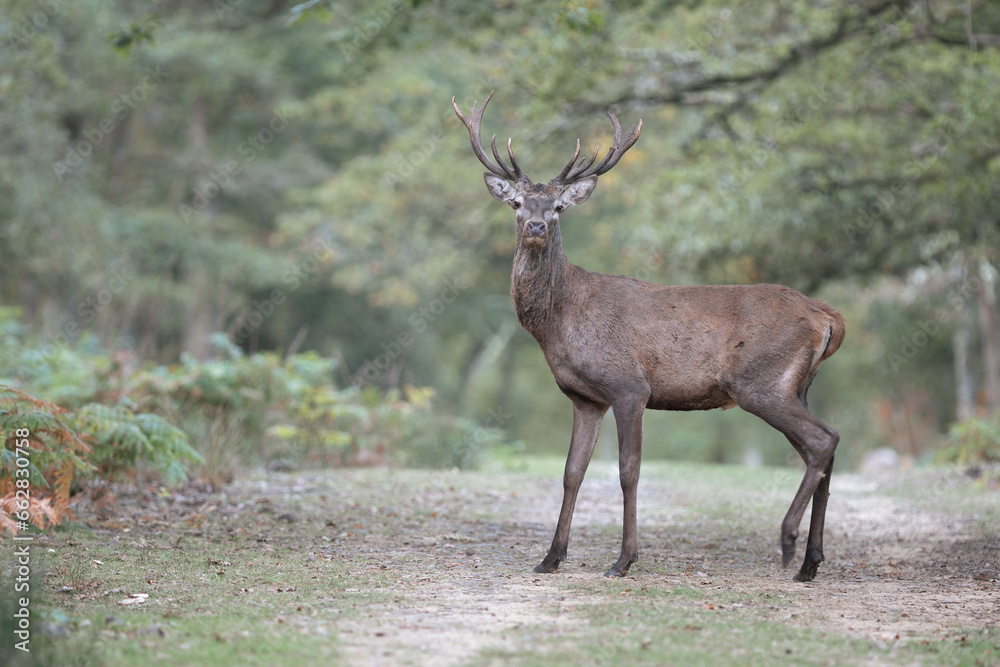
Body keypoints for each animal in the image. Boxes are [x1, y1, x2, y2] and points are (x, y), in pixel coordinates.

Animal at [452, 92, 845, 582]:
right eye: (518, 203)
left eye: (558, 207)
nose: (537, 226)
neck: (559, 324)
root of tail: (828, 316)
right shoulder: (585, 397)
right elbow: (571, 472)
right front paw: (551, 557)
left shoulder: (629, 386)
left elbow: (628, 471)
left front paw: (623, 560)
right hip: (797, 387)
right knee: (823, 449)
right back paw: (810, 562)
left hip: (762, 384)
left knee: (824, 442)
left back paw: (789, 541)